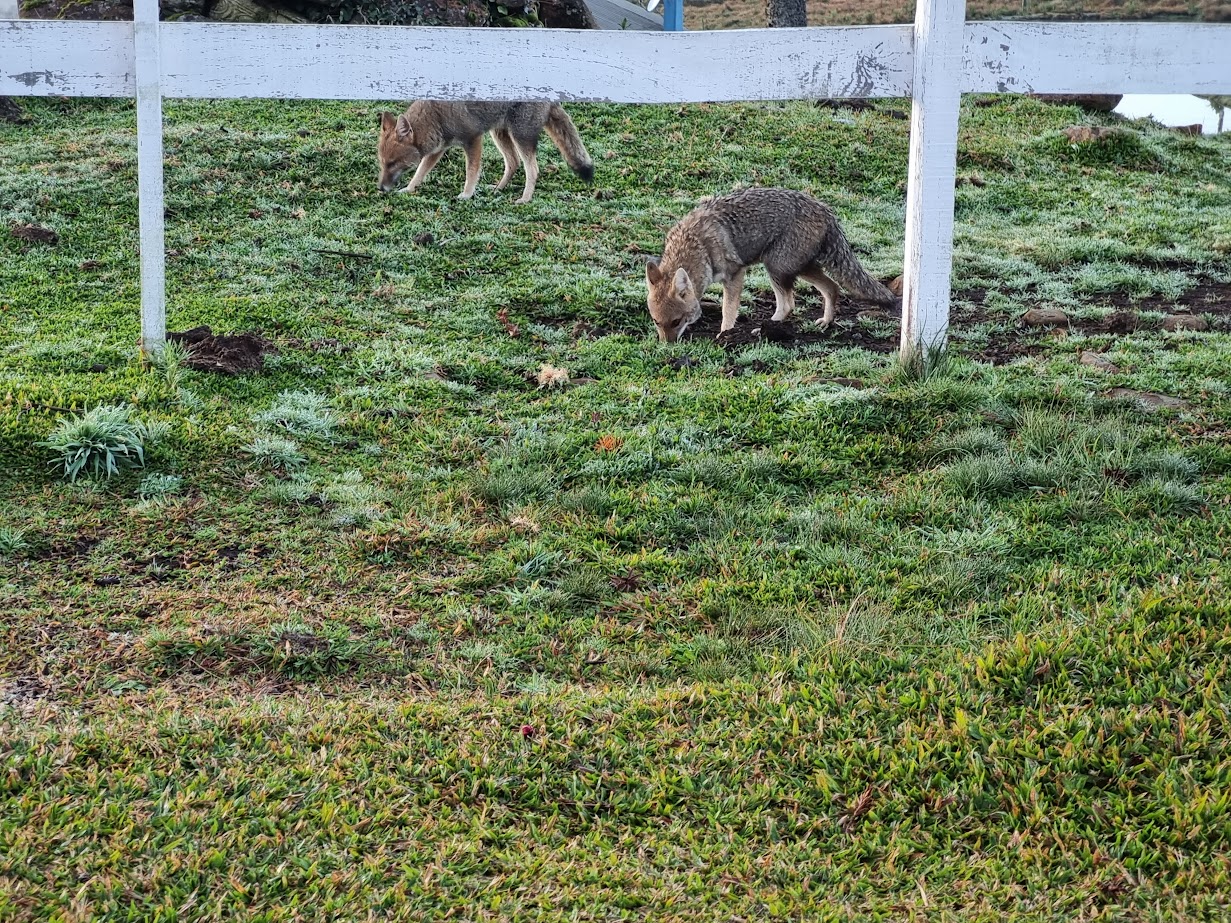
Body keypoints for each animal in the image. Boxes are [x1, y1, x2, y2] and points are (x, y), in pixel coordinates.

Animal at [376, 102, 593, 205]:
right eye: (383, 163)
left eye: (393, 163)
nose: (380, 188)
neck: (436, 114)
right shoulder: (438, 149)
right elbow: (420, 172)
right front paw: (409, 189)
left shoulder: (473, 139)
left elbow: (471, 171)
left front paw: (466, 194)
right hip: (499, 134)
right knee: (513, 163)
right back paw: (498, 188)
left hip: (519, 137)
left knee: (533, 169)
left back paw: (525, 198)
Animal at [645, 188, 896, 344]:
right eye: (657, 322)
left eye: (676, 322)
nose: (667, 346)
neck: (696, 243)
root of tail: (827, 210)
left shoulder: (736, 273)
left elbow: (728, 310)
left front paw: (725, 334)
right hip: (798, 268)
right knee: (832, 288)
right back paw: (825, 322)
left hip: (775, 267)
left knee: (789, 305)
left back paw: (763, 329)